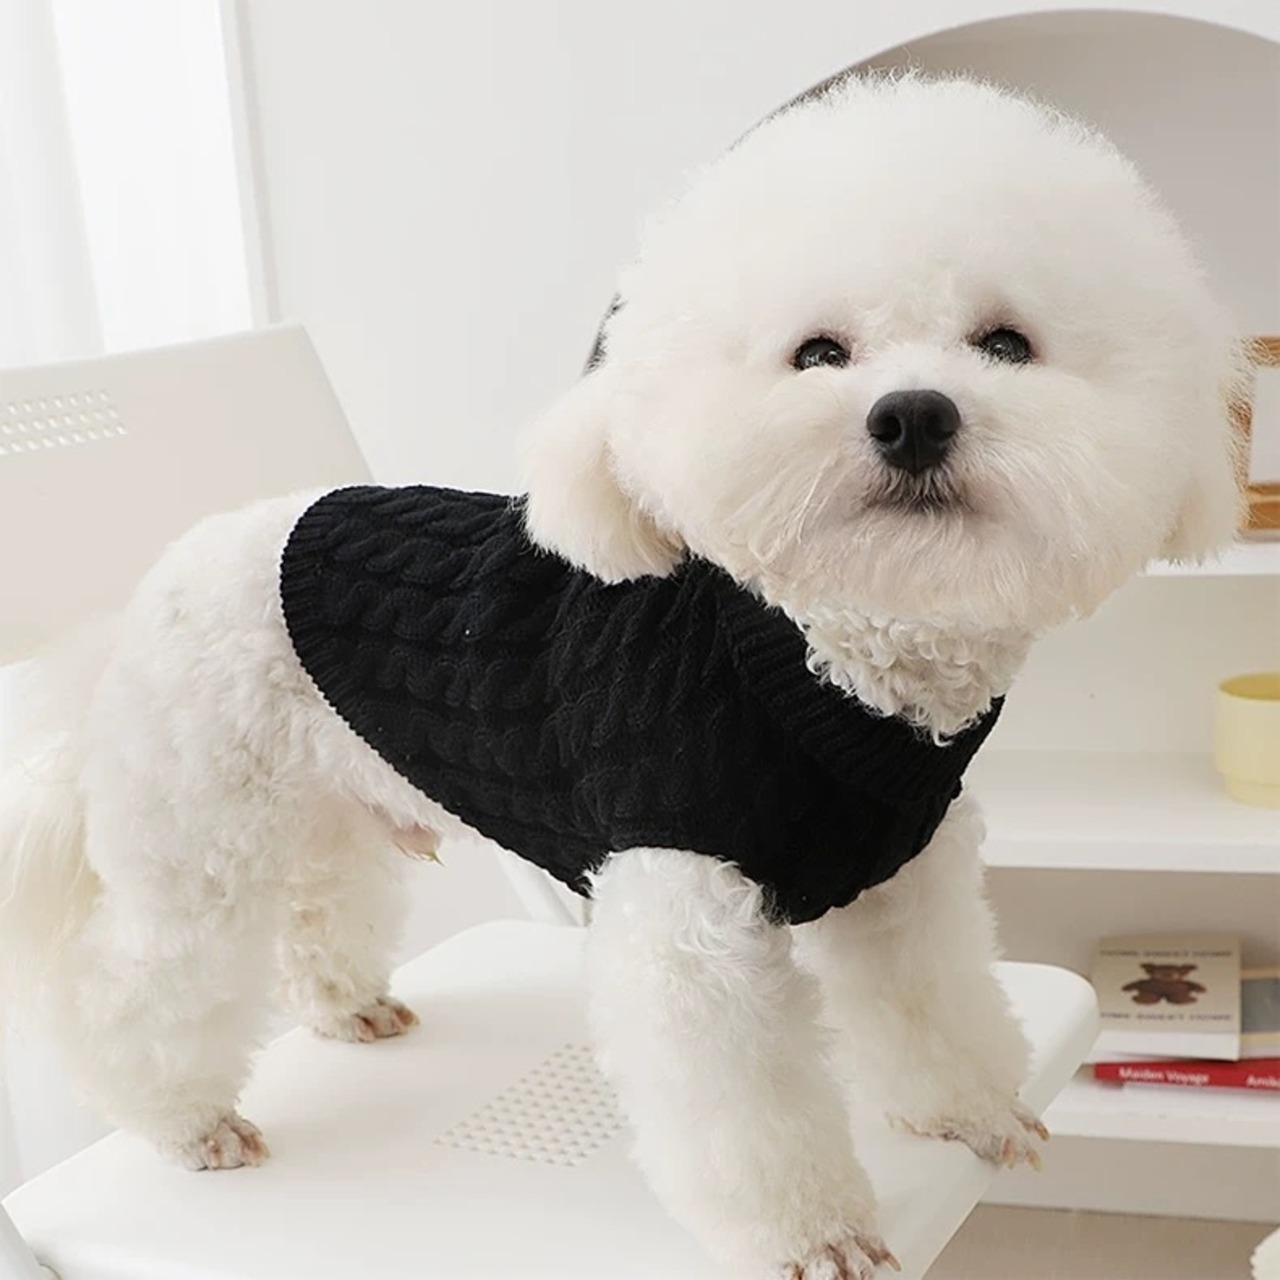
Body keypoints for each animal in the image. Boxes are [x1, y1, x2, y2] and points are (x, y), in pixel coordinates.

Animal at [0, 72, 1241, 1279]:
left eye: (1005, 343)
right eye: (818, 353)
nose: (910, 415)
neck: (817, 669)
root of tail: (158, 581)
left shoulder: (901, 883)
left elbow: (929, 1006)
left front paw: (968, 1108)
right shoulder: (691, 915)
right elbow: (744, 1103)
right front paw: (811, 1231)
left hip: (324, 802)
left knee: (321, 904)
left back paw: (347, 1004)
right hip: (199, 832)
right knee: (141, 983)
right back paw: (182, 1119)